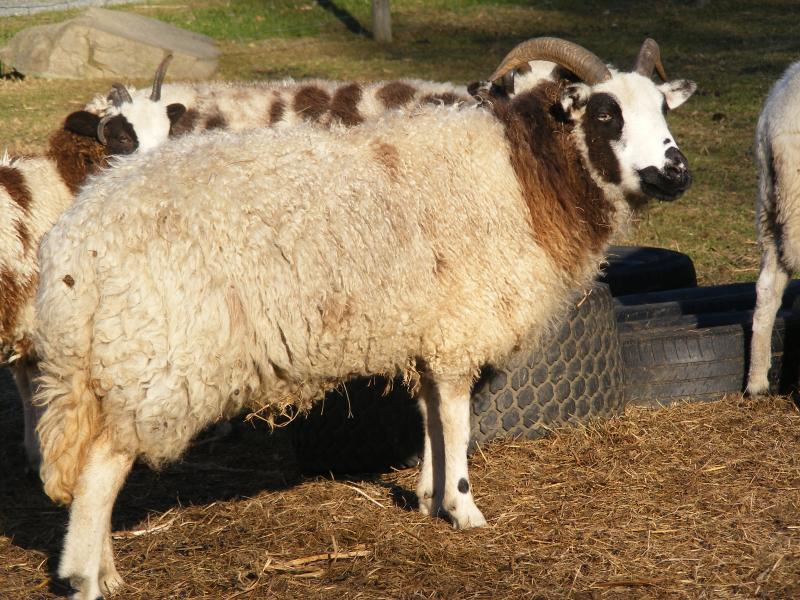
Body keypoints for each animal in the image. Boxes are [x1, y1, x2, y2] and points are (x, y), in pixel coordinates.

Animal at [2, 55, 184, 468]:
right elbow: (36, 384)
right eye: (122, 137)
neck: (64, 180)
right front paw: (39, 450)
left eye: (168, 132)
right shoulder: (43, 315)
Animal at [32, 37, 695, 599]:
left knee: (91, 468)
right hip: (154, 363)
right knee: (100, 471)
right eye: (606, 115)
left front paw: (427, 496)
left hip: (111, 365)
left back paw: (103, 570)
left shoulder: (430, 329)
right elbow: (457, 421)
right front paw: (464, 509)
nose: (676, 172)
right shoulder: (461, 327)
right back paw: (87, 580)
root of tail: (77, 245)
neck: (523, 174)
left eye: (664, 109)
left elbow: (430, 416)